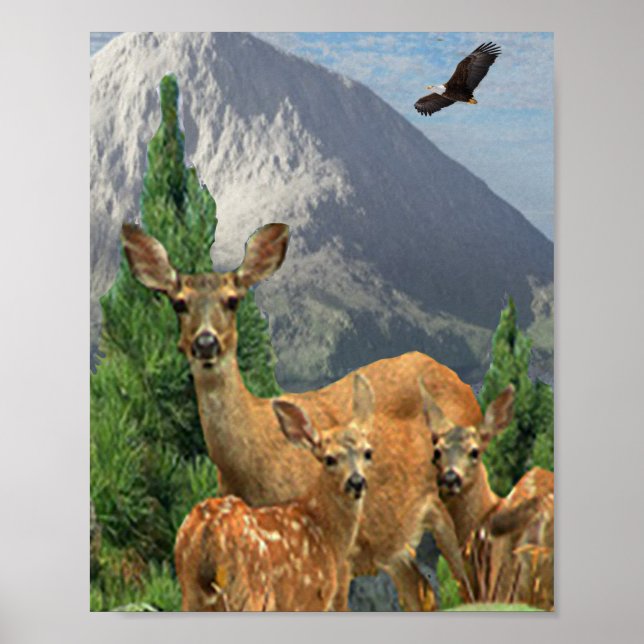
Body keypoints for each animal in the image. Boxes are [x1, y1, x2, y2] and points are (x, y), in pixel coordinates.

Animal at [175, 375, 374, 611]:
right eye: (329, 459)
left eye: (368, 453)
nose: (357, 482)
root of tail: (209, 530)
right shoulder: (307, 600)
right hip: (250, 588)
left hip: (191, 591)